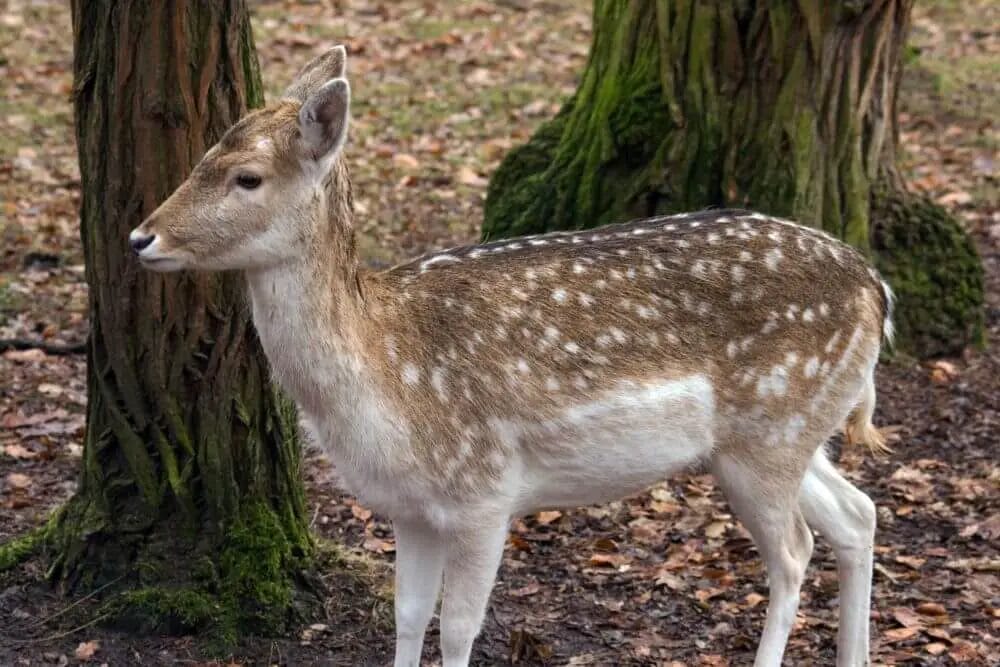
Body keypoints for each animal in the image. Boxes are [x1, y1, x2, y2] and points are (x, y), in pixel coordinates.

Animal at [130, 46, 892, 667]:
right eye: (200, 158)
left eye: (247, 178)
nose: (141, 237)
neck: (384, 377)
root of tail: (877, 290)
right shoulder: (410, 508)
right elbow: (408, 618)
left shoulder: (483, 492)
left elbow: (458, 629)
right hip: (783, 433)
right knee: (858, 513)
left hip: (769, 434)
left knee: (795, 552)